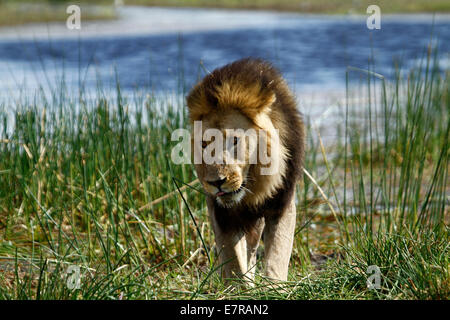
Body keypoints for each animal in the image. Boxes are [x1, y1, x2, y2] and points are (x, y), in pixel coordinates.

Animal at [186, 58, 306, 282]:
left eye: (234, 140)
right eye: (204, 144)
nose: (216, 182)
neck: (255, 187)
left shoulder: (282, 204)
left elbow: (277, 254)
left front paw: (273, 286)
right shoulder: (222, 216)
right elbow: (234, 262)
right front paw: (240, 286)